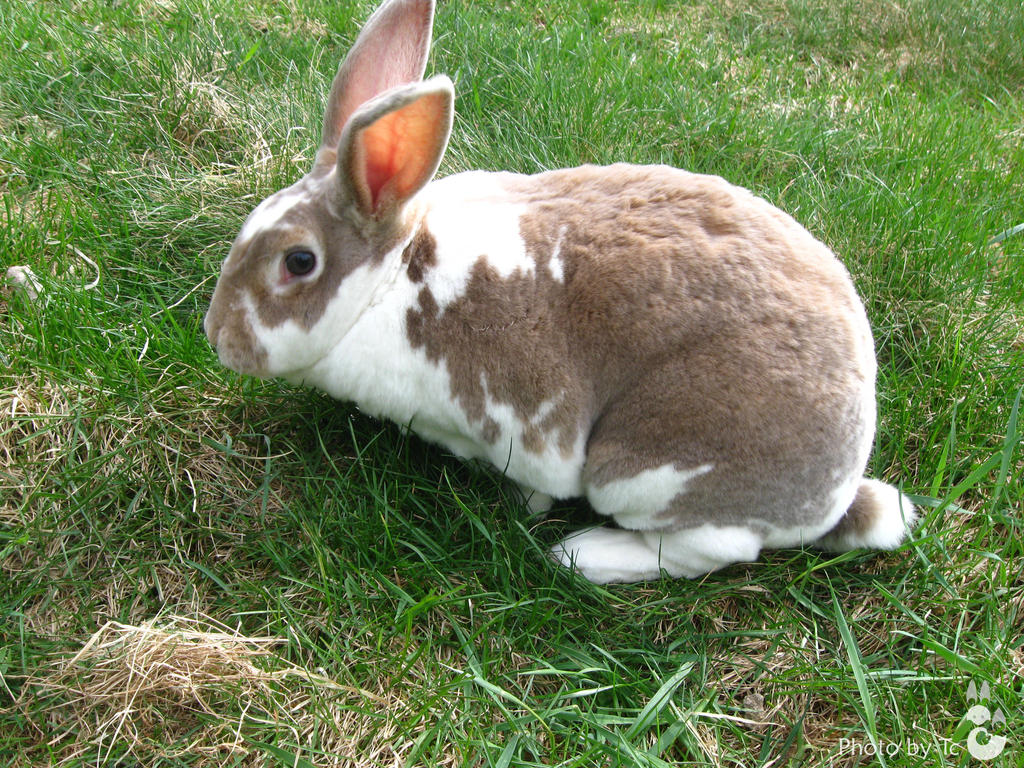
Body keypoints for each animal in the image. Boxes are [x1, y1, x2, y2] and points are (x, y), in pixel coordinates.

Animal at [204, 0, 917, 584]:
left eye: (299, 261)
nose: (218, 336)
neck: (393, 284)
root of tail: (833, 494)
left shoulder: (526, 427)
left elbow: (538, 485)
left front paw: (524, 509)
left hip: (643, 469)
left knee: (713, 548)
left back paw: (584, 554)